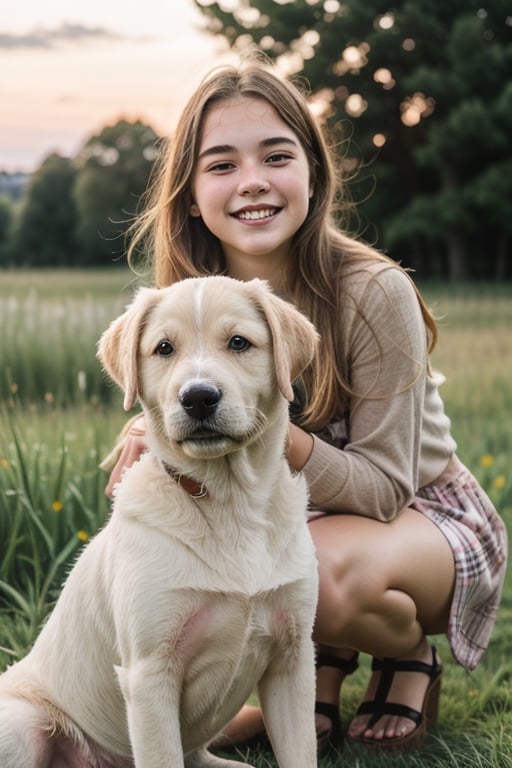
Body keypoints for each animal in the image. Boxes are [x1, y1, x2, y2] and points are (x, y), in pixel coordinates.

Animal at [0, 276, 320, 768]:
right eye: (164, 348)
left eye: (239, 342)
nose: (199, 397)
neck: (230, 502)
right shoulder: (149, 673)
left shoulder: (294, 657)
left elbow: (301, 753)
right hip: (21, 726)